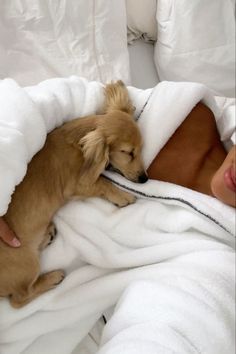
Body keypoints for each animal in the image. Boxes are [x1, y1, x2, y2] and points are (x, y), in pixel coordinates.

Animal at [0, 80, 148, 306]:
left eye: (140, 149)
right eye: (128, 152)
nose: (144, 179)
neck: (78, 143)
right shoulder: (76, 186)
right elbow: (103, 182)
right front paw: (123, 196)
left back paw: (46, 236)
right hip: (27, 264)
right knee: (19, 299)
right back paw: (52, 278)